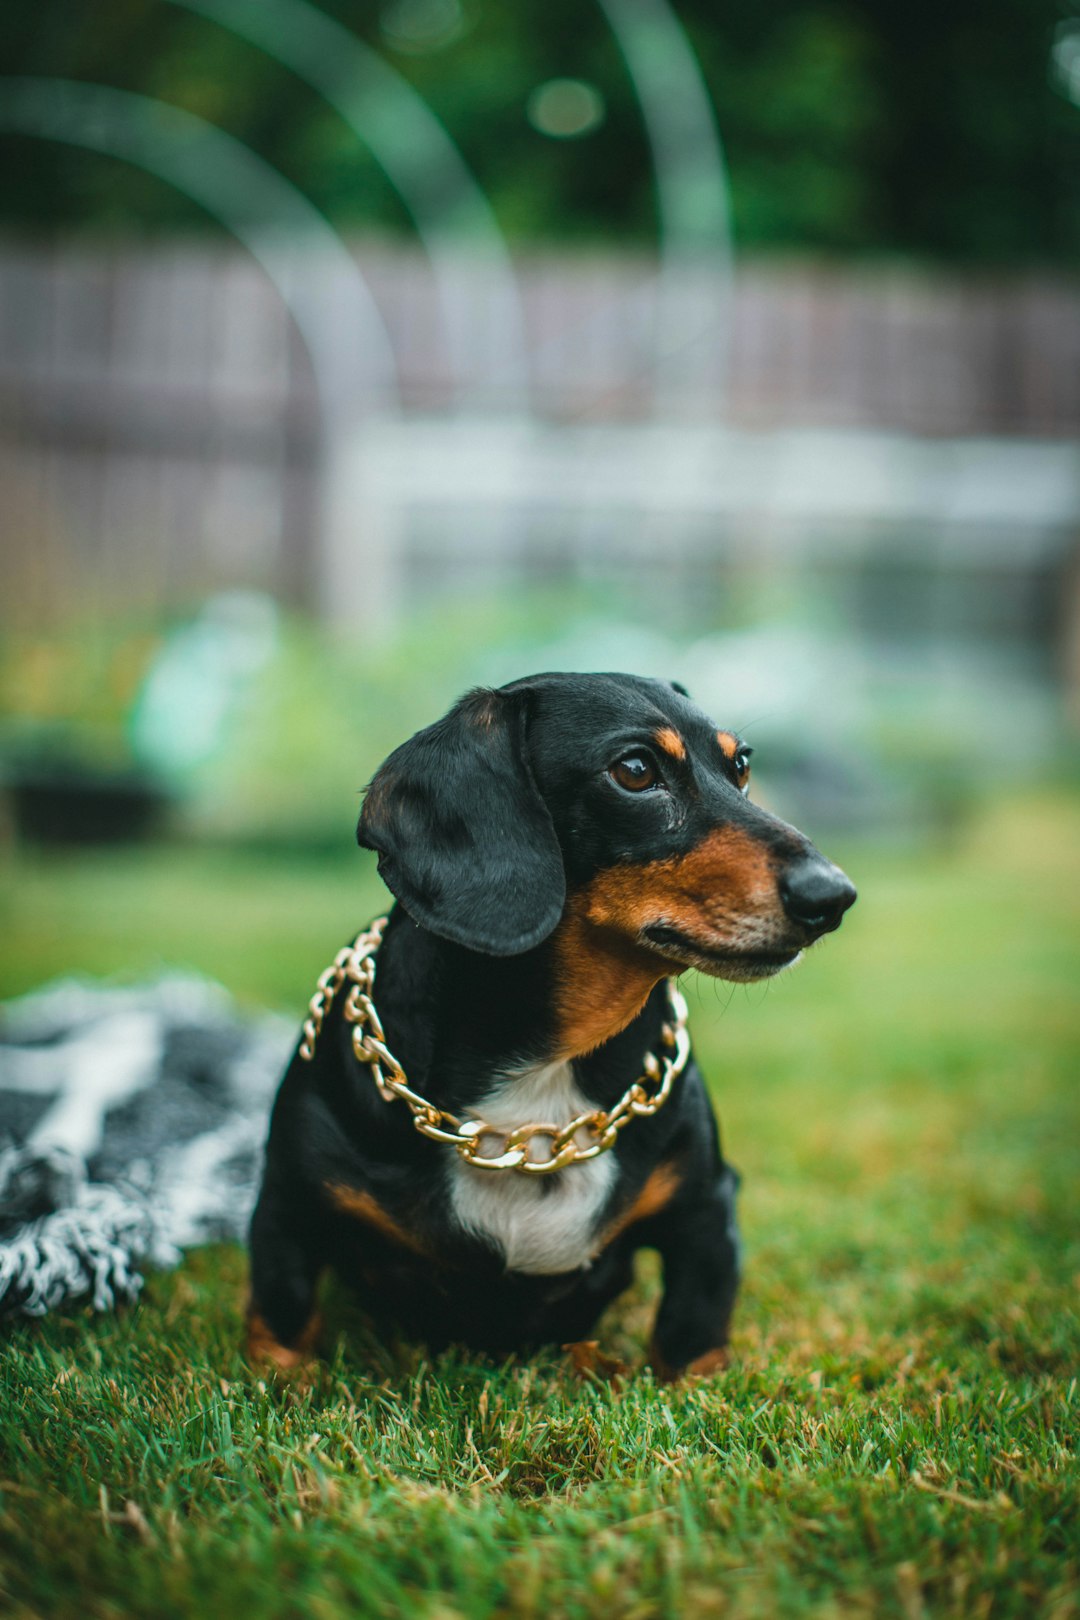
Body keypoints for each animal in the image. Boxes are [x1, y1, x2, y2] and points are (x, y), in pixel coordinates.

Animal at [249, 670, 854, 1380]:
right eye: (635, 770)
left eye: (741, 766)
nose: (833, 897)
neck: (543, 1081)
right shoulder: (288, 1209)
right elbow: (279, 1324)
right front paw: (281, 1382)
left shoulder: (706, 1207)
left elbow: (692, 1335)